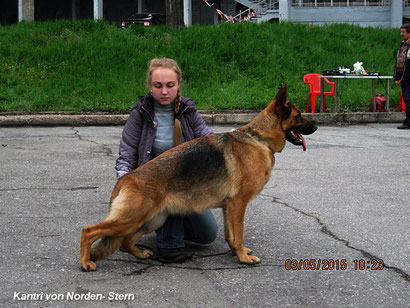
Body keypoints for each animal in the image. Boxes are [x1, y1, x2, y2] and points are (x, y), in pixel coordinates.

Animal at [80, 83, 318, 270]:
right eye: (299, 115)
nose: (316, 126)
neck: (259, 138)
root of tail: (125, 178)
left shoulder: (228, 207)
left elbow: (231, 235)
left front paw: (236, 252)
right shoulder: (238, 204)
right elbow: (239, 233)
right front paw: (243, 257)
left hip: (152, 219)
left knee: (126, 241)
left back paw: (141, 253)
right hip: (132, 218)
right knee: (89, 230)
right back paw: (85, 262)